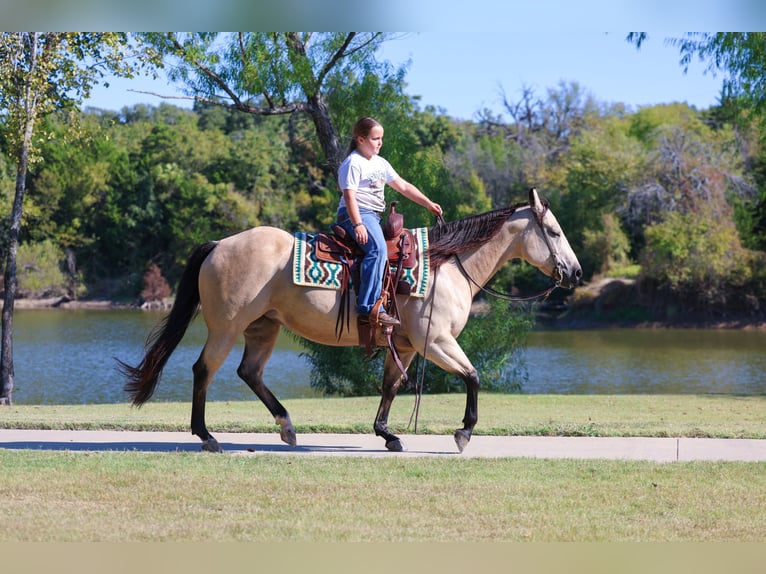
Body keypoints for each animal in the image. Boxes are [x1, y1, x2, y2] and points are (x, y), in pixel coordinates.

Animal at [118, 188, 581, 454]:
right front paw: (464, 433)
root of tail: (219, 244)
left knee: (249, 373)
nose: (575, 273)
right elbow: (473, 375)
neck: (447, 266)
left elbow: (390, 386)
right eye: (554, 232)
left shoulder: (408, 346)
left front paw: (387, 434)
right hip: (227, 327)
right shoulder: (435, 342)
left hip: (263, 327)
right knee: (204, 370)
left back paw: (286, 427)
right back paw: (207, 437)